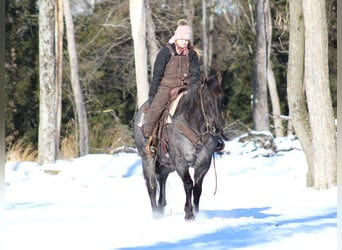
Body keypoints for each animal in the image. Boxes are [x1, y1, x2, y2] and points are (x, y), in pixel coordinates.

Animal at [133, 71, 224, 221]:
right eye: (205, 99)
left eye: (222, 98)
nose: (217, 127)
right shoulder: (181, 163)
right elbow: (188, 184)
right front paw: (189, 214)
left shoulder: (204, 164)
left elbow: (198, 188)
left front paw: (197, 213)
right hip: (148, 159)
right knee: (152, 186)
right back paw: (155, 214)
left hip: (167, 164)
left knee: (162, 178)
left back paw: (161, 206)